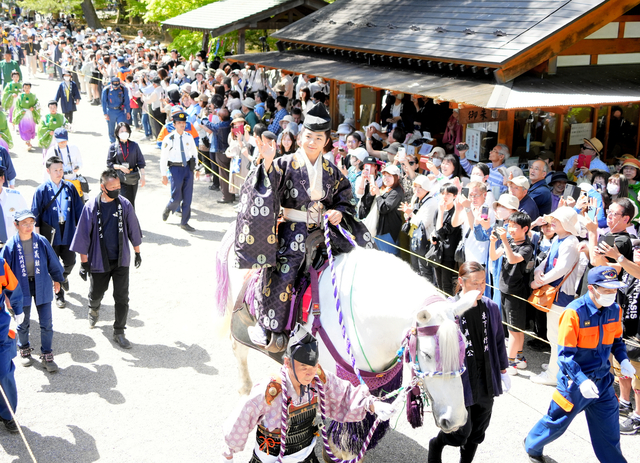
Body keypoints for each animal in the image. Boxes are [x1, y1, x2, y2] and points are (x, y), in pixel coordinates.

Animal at [218, 232, 472, 454]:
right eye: (427, 354)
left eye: (463, 352)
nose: (456, 418)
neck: (363, 319)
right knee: (238, 350)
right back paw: (247, 388)